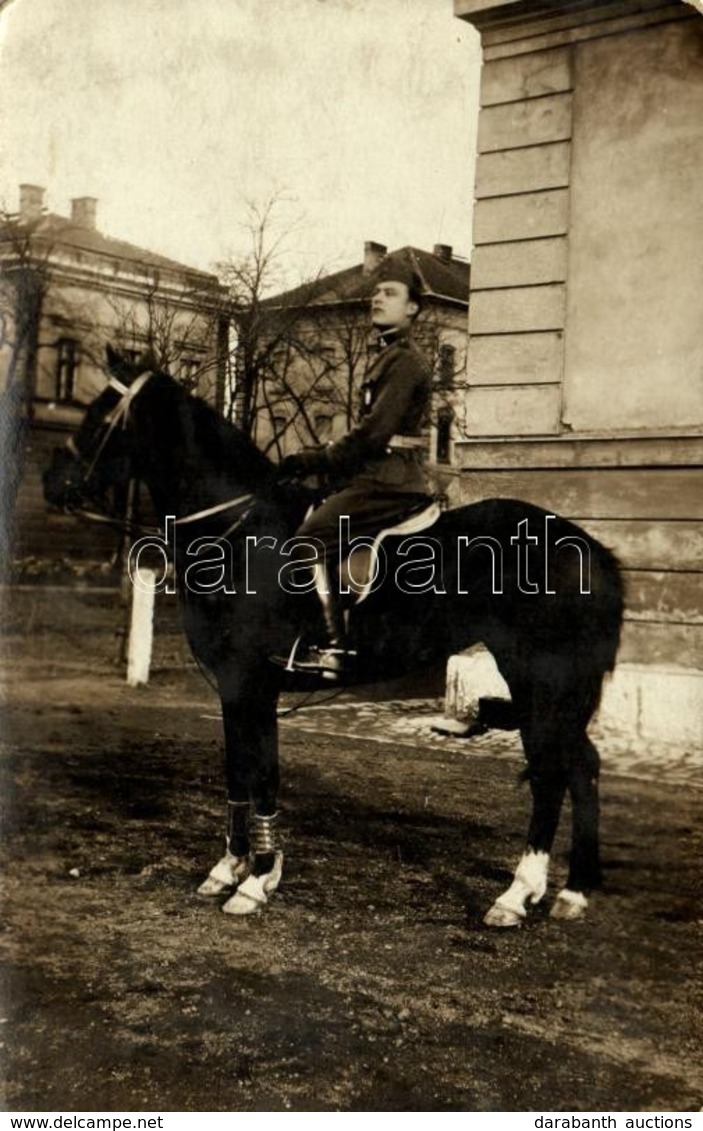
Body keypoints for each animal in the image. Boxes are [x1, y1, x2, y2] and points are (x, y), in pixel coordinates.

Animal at [44, 352, 623, 927]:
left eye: (102, 412)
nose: (51, 482)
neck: (239, 530)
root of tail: (590, 547)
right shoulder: (233, 686)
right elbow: (237, 773)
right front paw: (229, 867)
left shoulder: (253, 682)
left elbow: (264, 775)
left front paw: (257, 880)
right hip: (556, 688)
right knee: (582, 767)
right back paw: (574, 891)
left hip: (541, 680)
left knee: (551, 773)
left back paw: (516, 895)